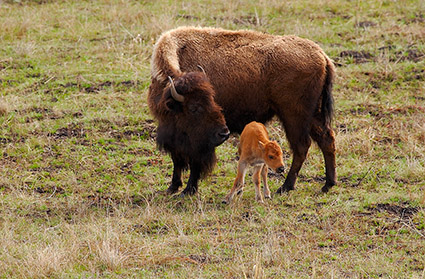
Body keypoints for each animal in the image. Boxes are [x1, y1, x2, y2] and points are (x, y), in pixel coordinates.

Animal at [147, 26, 336, 197]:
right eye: (194, 107)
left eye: (213, 101)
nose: (224, 134)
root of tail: (323, 56)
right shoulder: (172, 134)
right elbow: (177, 159)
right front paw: (173, 187)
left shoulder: (199, 143)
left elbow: (194, 163)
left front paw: (188, 190)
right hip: (312, 116)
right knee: (326, 139)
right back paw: (328, 184)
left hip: (294, 117)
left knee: (302, 146)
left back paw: (285, 187)